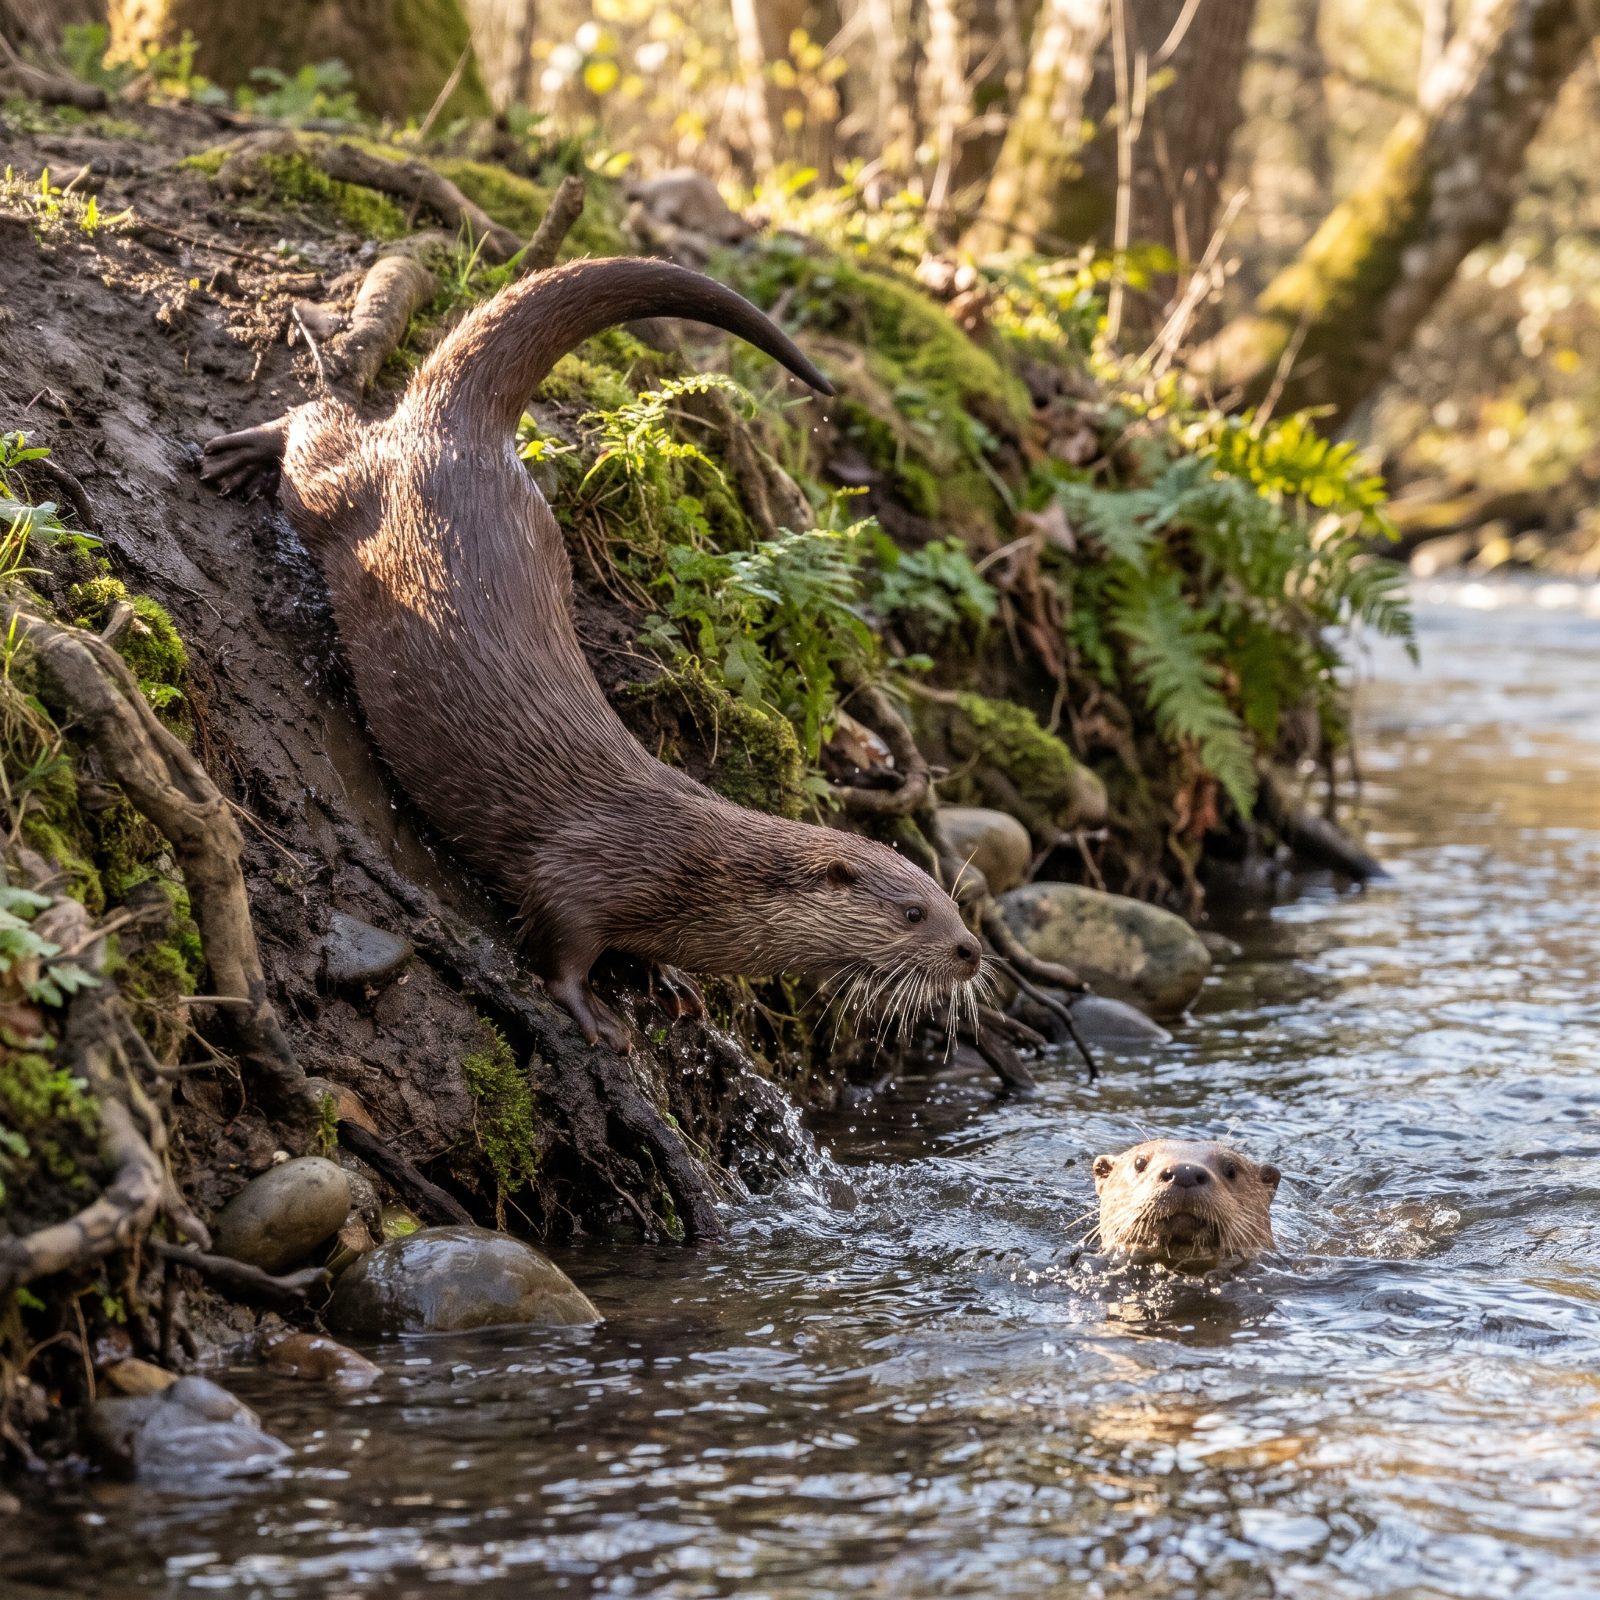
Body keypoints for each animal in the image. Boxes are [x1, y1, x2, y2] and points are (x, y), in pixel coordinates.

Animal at [203, 257, 981, 1048]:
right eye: (913, 912)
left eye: (953, 906)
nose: (971, 951)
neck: (705, 874)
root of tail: (459, 433)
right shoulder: (591, 871)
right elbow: (560, 936)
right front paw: (594, 1013)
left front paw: (671, 980)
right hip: (346, 495)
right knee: (317, 426)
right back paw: (242, 451)